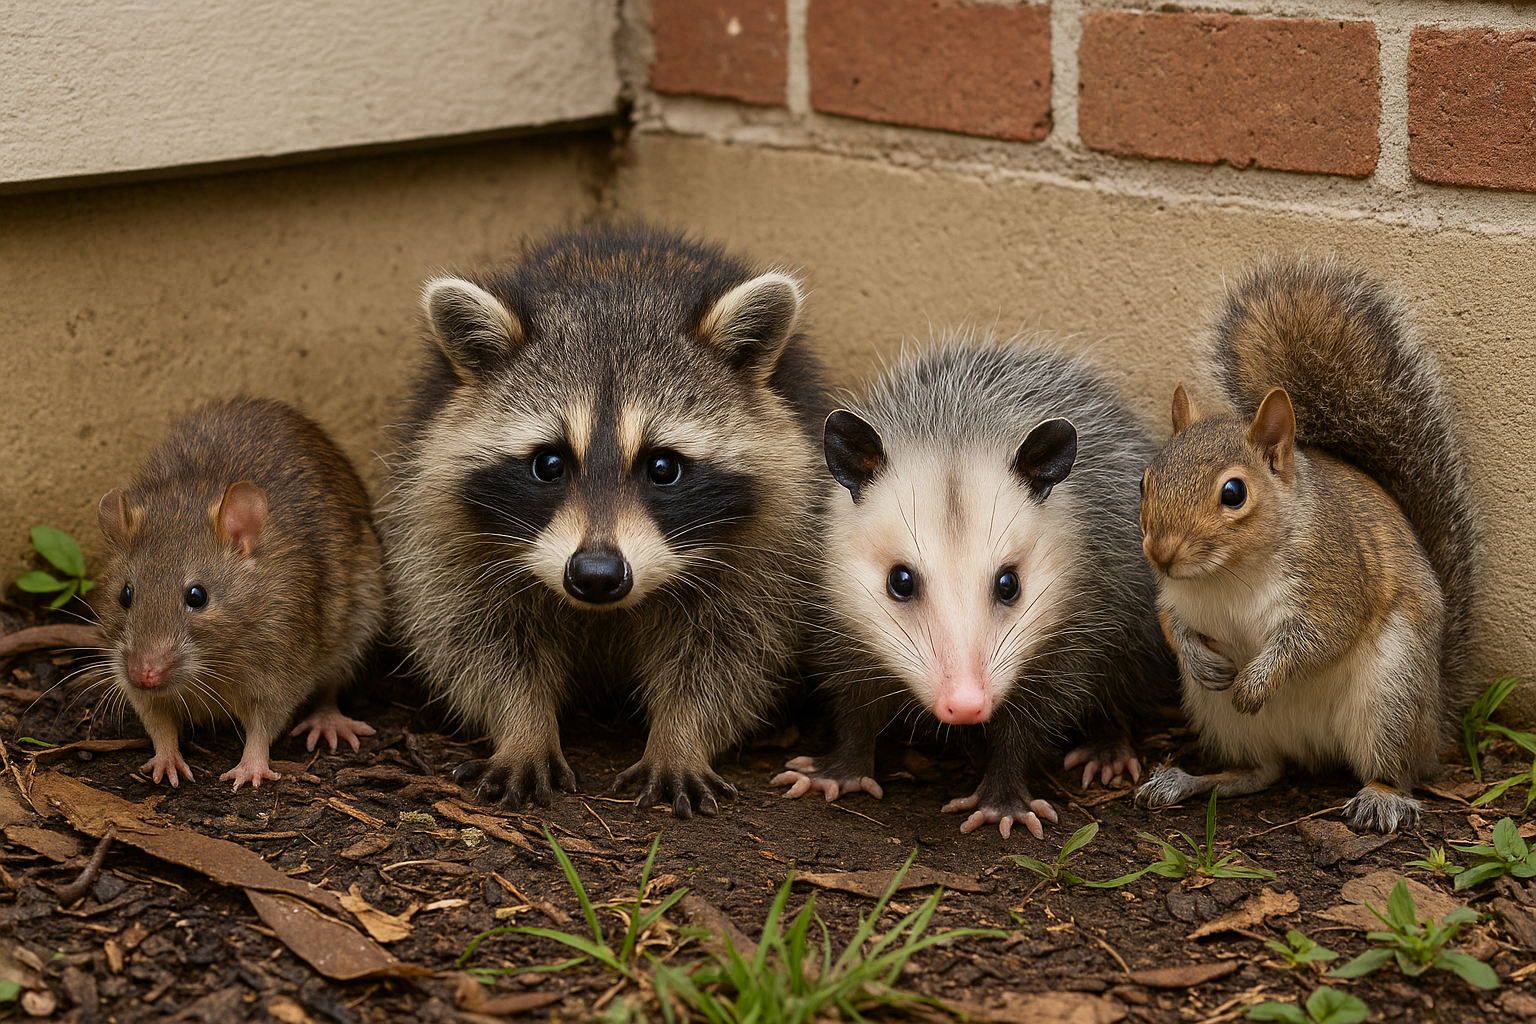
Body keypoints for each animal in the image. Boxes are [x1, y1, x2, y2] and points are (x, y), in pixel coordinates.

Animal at [384, 225, 831, 818]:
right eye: (548, 464)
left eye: (663, 467)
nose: (596, 575)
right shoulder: (442, 522)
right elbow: (476, 637)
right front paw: (522, 727)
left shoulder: (772, 540)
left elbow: (732, 649)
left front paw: (681, 737)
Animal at [774, 340, 1176, 838]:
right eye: (899, 581)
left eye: (1009, 584)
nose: (965, 705)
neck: (956, 422)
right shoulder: (838, 621)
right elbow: (854, 705)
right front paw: (838, 771)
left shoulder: (1080, 618)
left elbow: (1031, 723)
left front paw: (1002, 802)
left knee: (1122, 684)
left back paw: (1108, 747)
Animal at [1134, 257, 1481, 833]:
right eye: (1145, 480)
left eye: (1234, 493)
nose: (1160, 553)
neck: (1227, 574)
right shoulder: (1173, 594)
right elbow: (1171, 622)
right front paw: (1202, 660)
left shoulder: (1335, 577)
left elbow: (1318, 637)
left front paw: (1254, 683)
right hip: (1222, 719)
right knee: (1259, 773)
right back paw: (1185, 780)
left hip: (1391, 696)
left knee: (1395, 771)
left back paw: (1381, 797)